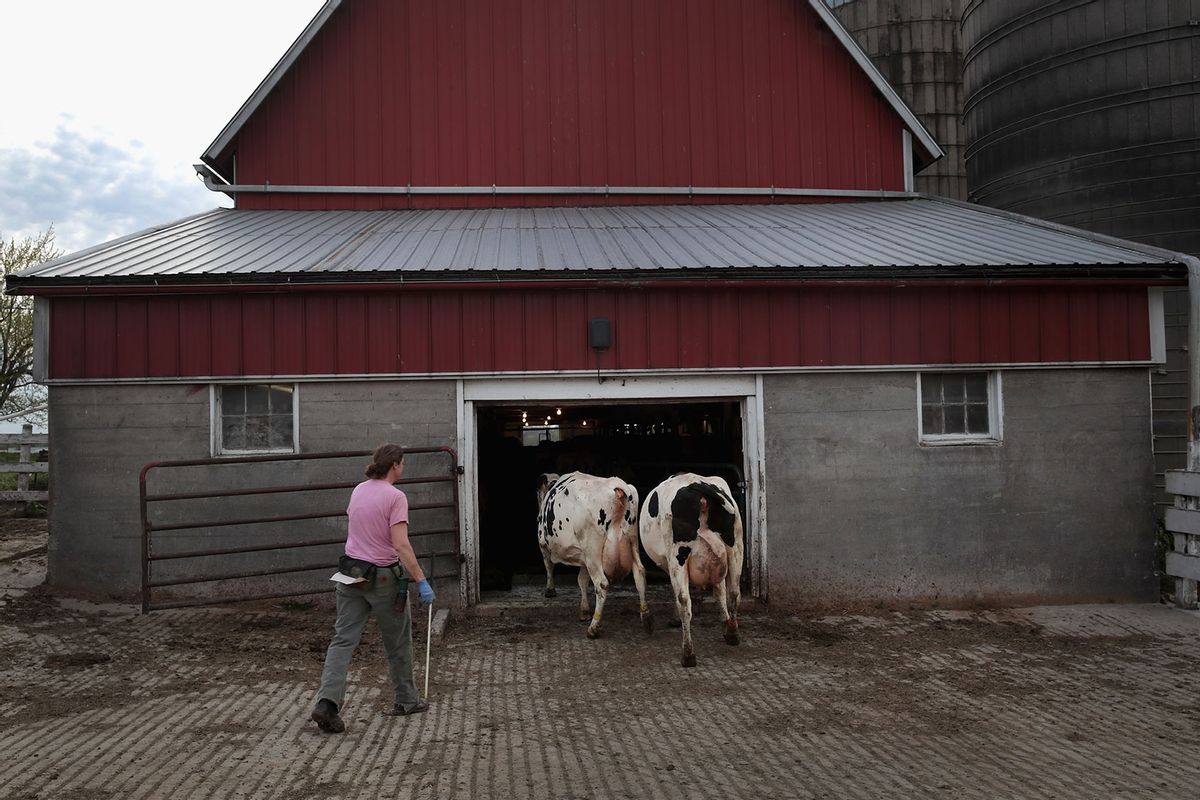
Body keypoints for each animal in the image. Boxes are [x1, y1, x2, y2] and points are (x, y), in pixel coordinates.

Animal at [535, 470, 648, 638]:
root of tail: (617, 485)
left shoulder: (543, 543)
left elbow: (549, 566)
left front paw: (550, 590)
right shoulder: (584, 557)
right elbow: (582, 580)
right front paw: (584, 611)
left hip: (593, 551)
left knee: (601, 584)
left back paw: (594, 627)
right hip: (632, 541)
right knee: (639, 573)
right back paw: (645, 617)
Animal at [638, 472, 739, 666]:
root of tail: (697, 484)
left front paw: (674, 619)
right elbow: (720, 592)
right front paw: (725, 625)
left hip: (678, 555)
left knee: (684, 600)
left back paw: (688, 654)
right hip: (735, 548)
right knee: (734, 593)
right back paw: (733, 634)